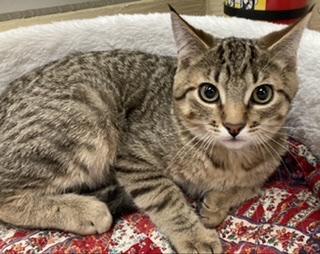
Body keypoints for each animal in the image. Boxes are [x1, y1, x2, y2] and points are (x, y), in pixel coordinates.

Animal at [0, 5, 312, 254]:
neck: (230, 159)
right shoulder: (133, 158)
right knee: (5, 195)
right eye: (209, 92)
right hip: (88, 116)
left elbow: (252, 185)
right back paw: (86, 209)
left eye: (262, 94)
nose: (234, 126)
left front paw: (217, 203)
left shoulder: (271, 161)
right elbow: (166, 196)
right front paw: (195, 237)